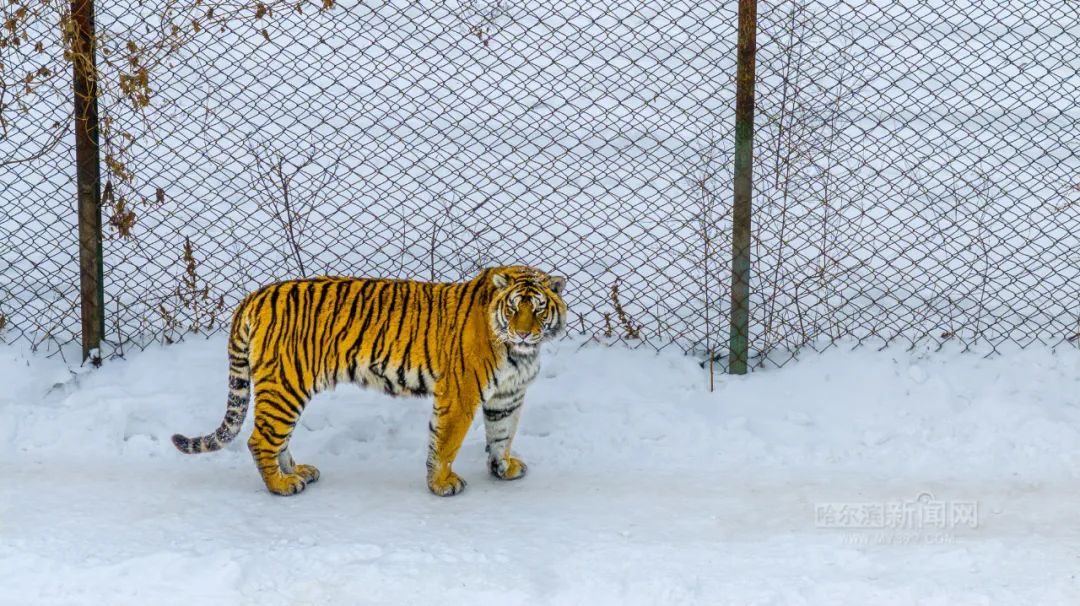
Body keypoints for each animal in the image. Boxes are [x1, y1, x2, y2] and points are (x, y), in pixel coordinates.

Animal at [170, 264, 565, 496]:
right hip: (285, 385)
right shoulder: (460, 393)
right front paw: (441, 484)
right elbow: (446, 445)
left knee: (276, 438)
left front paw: (503, 468)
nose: (524, 333)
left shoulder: (507, 395)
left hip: (285, 388)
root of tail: (255, 295)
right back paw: (282, 485)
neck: (519, 352)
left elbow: (502, 434)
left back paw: (298, 471)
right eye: (513, 308)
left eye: (538, 309)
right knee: (260, 439)